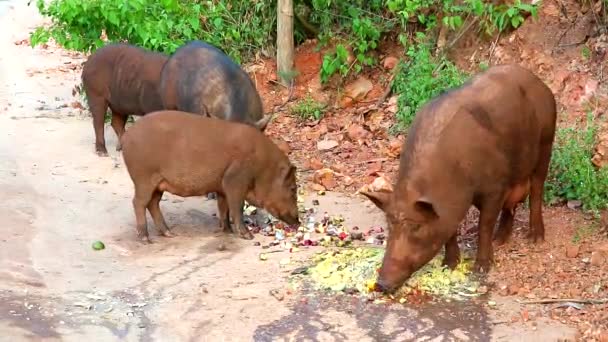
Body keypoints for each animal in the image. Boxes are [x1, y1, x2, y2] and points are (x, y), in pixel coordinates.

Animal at [119, 110, 300, 243]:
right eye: (293, 188)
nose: (298, 222)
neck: (263, 167)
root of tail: (126, 136)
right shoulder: (234, 180)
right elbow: (237, 207)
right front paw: (247, 236)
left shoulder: (221, 186)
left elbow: (223, 207)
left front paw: (227, 231)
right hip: (143, 178)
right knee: (138, 203)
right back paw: (146, 238)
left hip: (158, 183)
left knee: (153, 203)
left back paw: (169, 233)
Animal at [360, 65, 556, 294]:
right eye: (390, 225)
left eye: (416, 227)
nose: (381, 284)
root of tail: (540, 83)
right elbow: (451, 230)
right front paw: (449, 265)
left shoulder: (495, 186)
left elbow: (484, 224)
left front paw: (481, 268)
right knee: (511, 206)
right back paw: (500, 240)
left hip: (546, 141)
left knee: (536, 189)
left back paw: (535, 238)